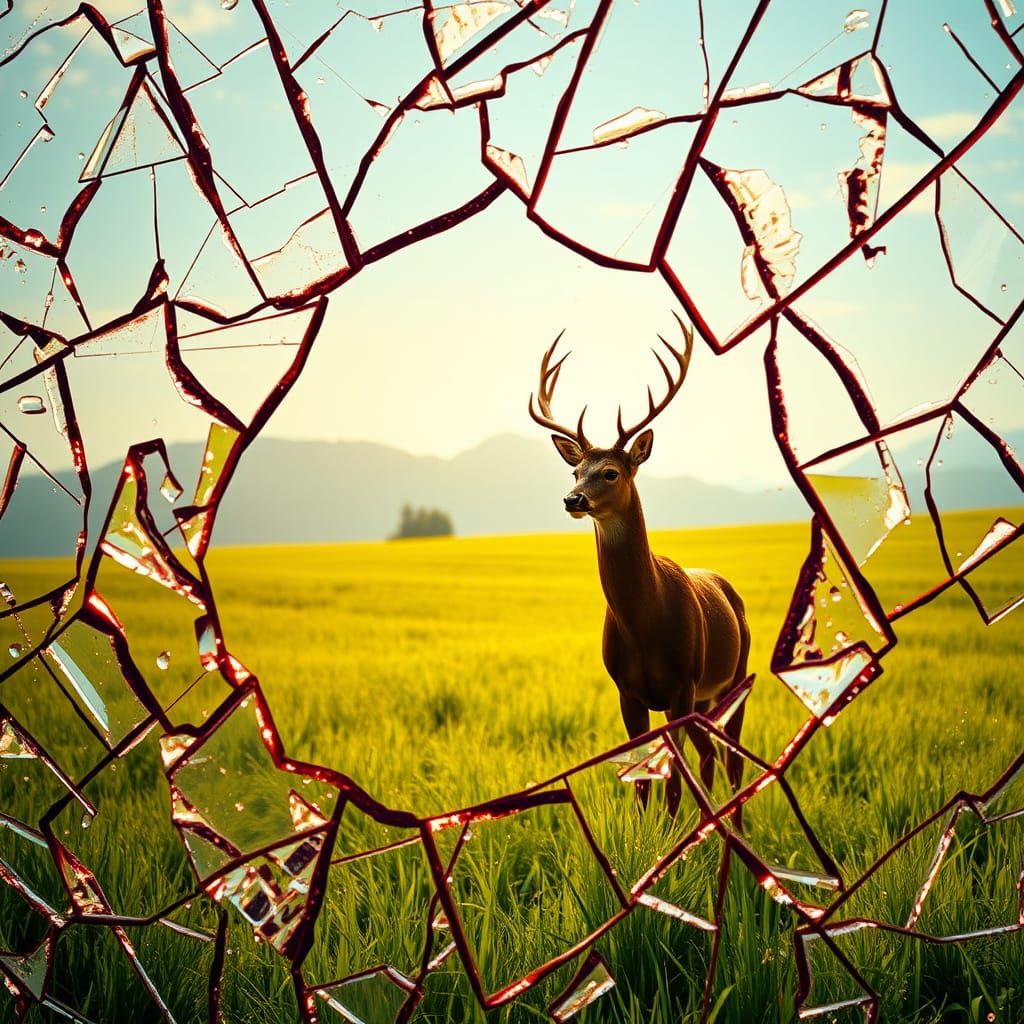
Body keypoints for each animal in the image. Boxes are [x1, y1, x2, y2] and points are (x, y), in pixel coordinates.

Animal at [529, 314, 751, 818]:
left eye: (611, 472)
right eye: (575, 471)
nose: (572, 499)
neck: (644, 623)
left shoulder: (682, 683)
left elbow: (672, 776)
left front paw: (667, 831)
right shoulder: (627, 691)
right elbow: (642, 778)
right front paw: (643, 829)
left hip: (735, 674)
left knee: (729, 756)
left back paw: (733, 821)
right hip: (705, 697)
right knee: (710, 755)